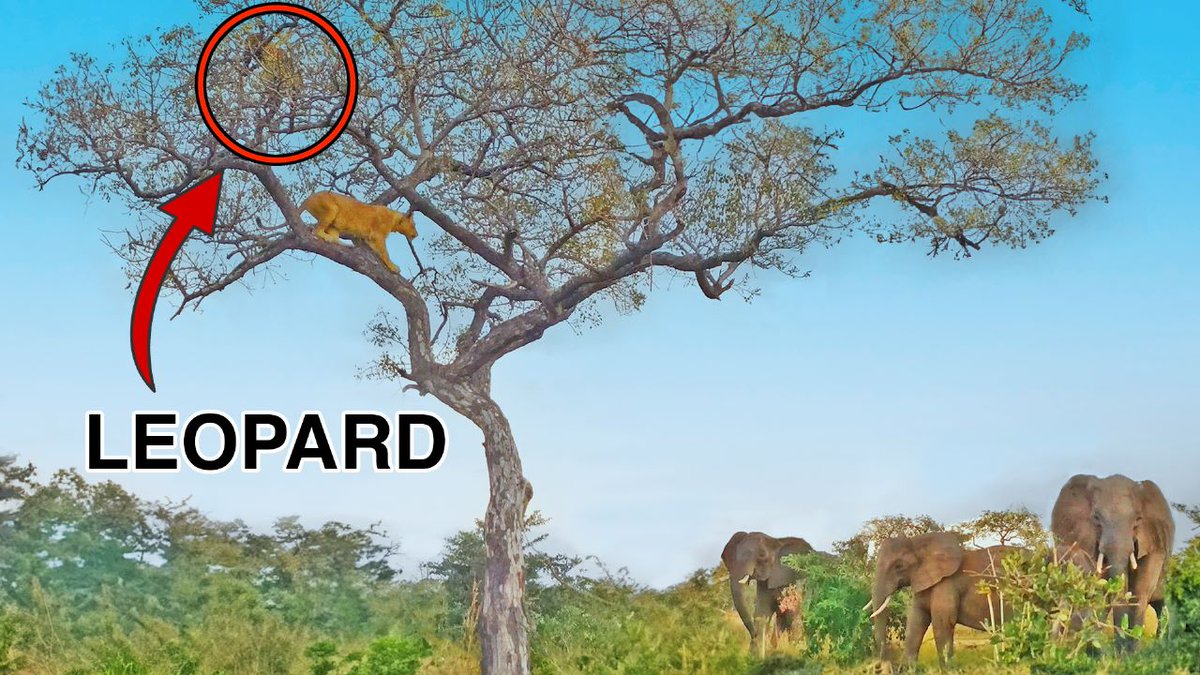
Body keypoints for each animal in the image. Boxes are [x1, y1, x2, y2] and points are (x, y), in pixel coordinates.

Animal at [865, 531, 1023, 665]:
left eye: (899, 566)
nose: (884, 663)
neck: (917, 542)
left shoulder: (946, 584)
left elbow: (943, 622)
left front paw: (948, 669)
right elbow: (916, 619)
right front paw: (907, 669)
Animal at [1050, 473, 1175, 650]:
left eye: (1137, 520)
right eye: (1096, 517)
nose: (1120, 649)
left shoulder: (1154, 543)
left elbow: (1140, 592)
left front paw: (1130, 654)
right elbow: (1098, 588)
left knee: (1159, 606)